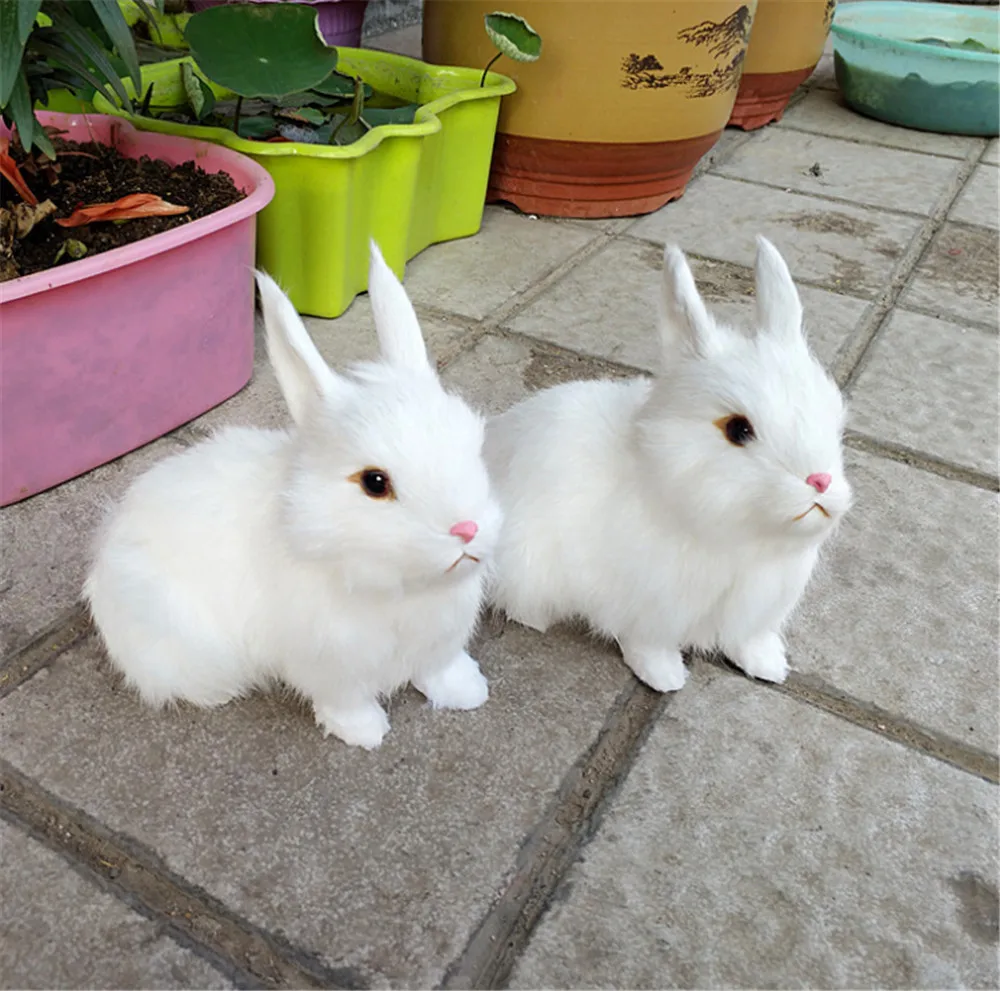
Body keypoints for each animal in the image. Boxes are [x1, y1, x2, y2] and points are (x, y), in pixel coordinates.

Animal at [84, 242, 502, 749]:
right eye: (375, 483)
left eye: (473, 445)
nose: (467, 528)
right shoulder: (331, 666)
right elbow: (346, 702)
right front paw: (365, 735)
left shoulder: (438, 644)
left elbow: (440, 670)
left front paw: (469, 693)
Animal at [484, 236, 852, 693]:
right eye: (738, 429)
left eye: (832, 414)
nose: (819, 481)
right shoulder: (644, 609)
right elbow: (647, 645)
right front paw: (665, 678)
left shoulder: (754, 610)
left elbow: (748, 640)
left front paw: (770, 667)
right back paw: (534, 619)